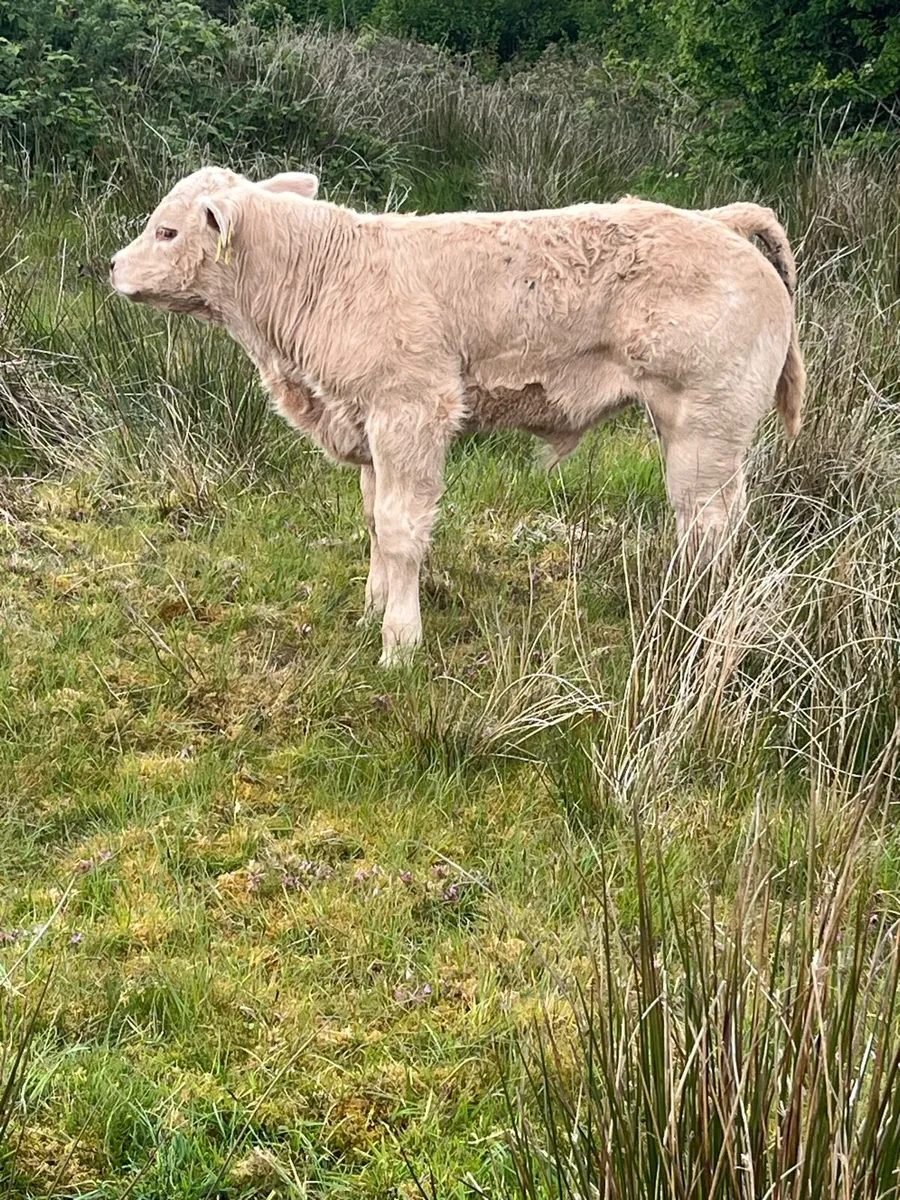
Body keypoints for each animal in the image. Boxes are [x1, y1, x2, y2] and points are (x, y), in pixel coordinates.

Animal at [110, 167, 804, 664]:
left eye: (167, 232)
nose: (113, 266)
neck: (323, 279)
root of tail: (717, 220)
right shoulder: (368, 427)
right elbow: (374, 518)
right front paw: (372, 607)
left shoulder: (411, 412)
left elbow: (401, 529)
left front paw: (399, 642)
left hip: (706, 423)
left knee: (708, 524)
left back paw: (695, 626)